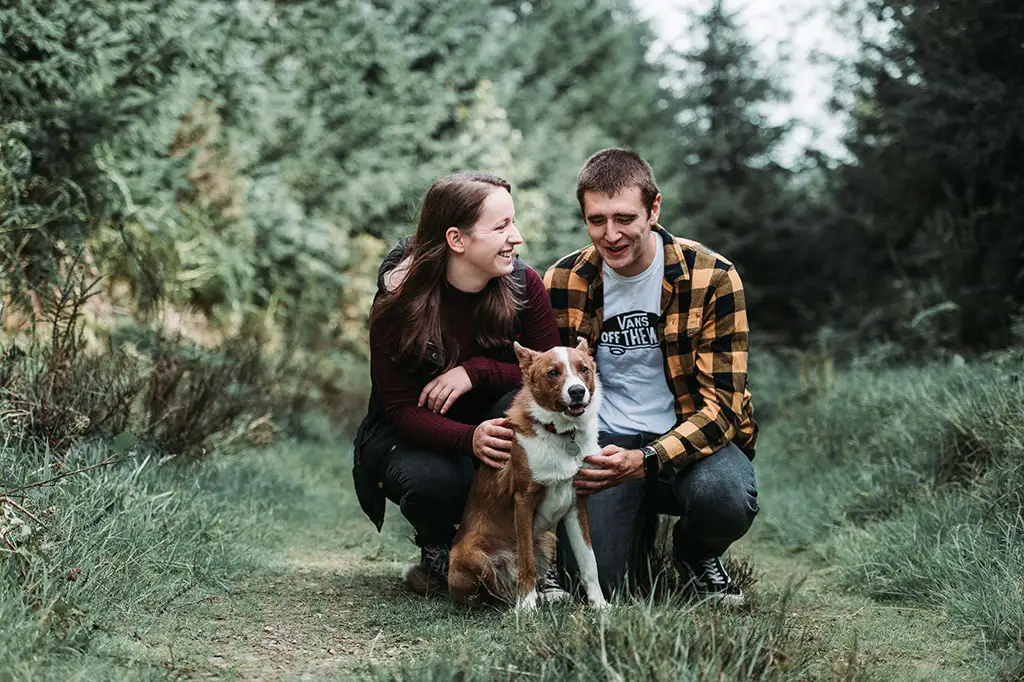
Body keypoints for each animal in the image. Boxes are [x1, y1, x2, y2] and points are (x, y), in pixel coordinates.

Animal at [450, 337, 606, 606]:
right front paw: (526, 606)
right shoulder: (524, 499)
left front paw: (601, 606)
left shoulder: (578, 502)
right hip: (474, 558)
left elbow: (589, 561)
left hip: (547, 539)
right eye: (552, 373)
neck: (561, 433)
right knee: (491, 591)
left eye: (584, 369)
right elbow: (526, 560)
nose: (577, 391)